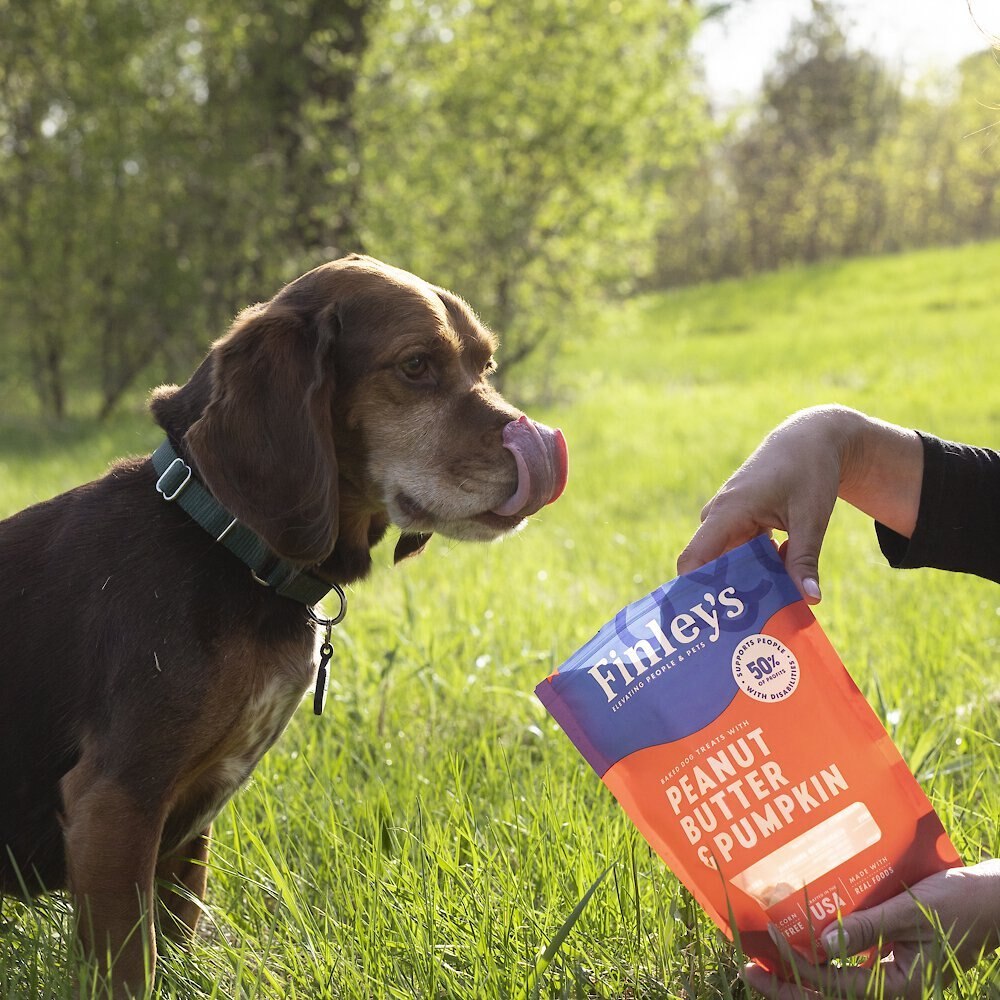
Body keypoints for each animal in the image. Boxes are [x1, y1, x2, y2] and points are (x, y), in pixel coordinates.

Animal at [0, 256, 568, 992]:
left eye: (485, 363)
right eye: (416, 365)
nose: (542, 450)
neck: (223, 541)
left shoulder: (187, 831)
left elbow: (177, 942)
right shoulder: (114, 803)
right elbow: (132, 969)